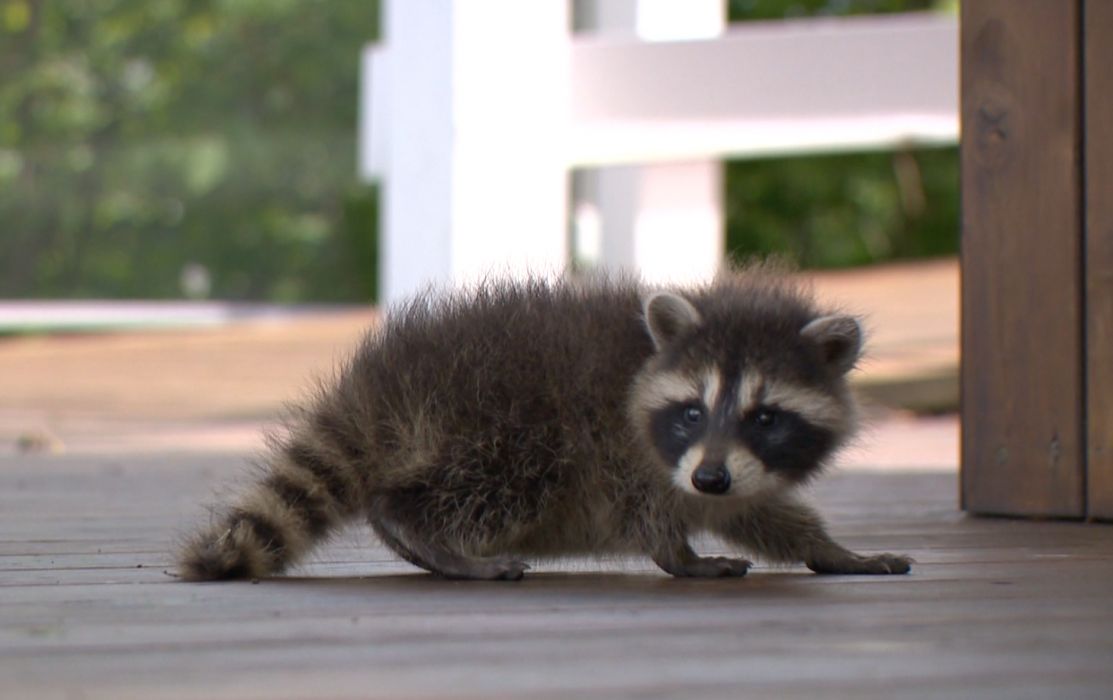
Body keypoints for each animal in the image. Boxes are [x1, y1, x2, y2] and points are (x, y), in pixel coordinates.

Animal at [178, 264, 912, 583]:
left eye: (765, 416)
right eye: (692, 410)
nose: (707, 479)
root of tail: (381, 381)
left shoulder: (733, 472)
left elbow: (759, 511)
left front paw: (829, 550)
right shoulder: (624, 450)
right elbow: (650, 510)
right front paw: (677, 556)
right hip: (503, 423)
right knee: (496, 484)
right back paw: (427, 534)